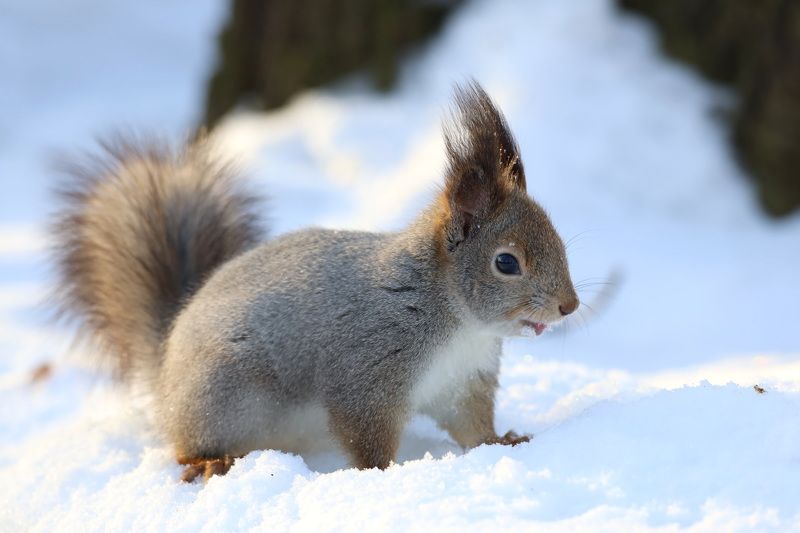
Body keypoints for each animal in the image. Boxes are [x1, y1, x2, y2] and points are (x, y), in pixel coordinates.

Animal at [52, 82, 579, 482]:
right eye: (506, 263)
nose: (569, 306)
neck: (458, 319)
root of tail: (164, 366)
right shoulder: (367, 371)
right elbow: (365, 435)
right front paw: (382, 477)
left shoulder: (464, 381)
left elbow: (471, 425)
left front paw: (502, 441)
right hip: (220, 394)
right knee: (183, 443)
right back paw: (207, 461)